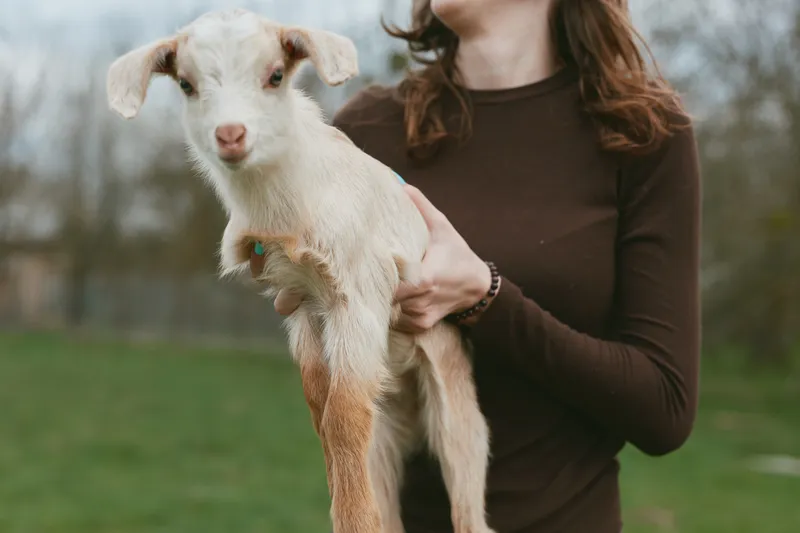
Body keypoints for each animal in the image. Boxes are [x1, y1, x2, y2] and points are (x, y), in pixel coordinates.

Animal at [106, 9, 494, 533]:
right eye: (186, 84)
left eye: (275, 75)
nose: (231, 135)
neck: (290, 204)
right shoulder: (301, 304)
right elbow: (319, 406)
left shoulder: (361, 291)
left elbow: (342, 414)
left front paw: (352, 519)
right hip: (387, 421)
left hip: (457, 410)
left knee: (468, 502)